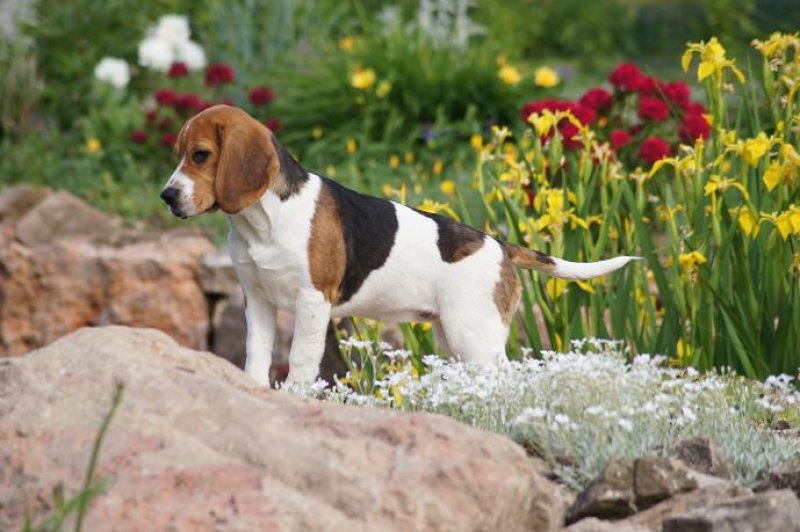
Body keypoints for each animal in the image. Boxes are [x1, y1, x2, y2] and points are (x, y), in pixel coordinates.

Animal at [161, 105, 636, 386]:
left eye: (200, 155)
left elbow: (300, 361)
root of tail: (499, 245)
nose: (167, 196)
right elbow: (256, 358)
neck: (262, 220)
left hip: (473, 336)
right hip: (453, 336)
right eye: (180, 153)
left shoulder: (312, 303)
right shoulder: (257, 300)